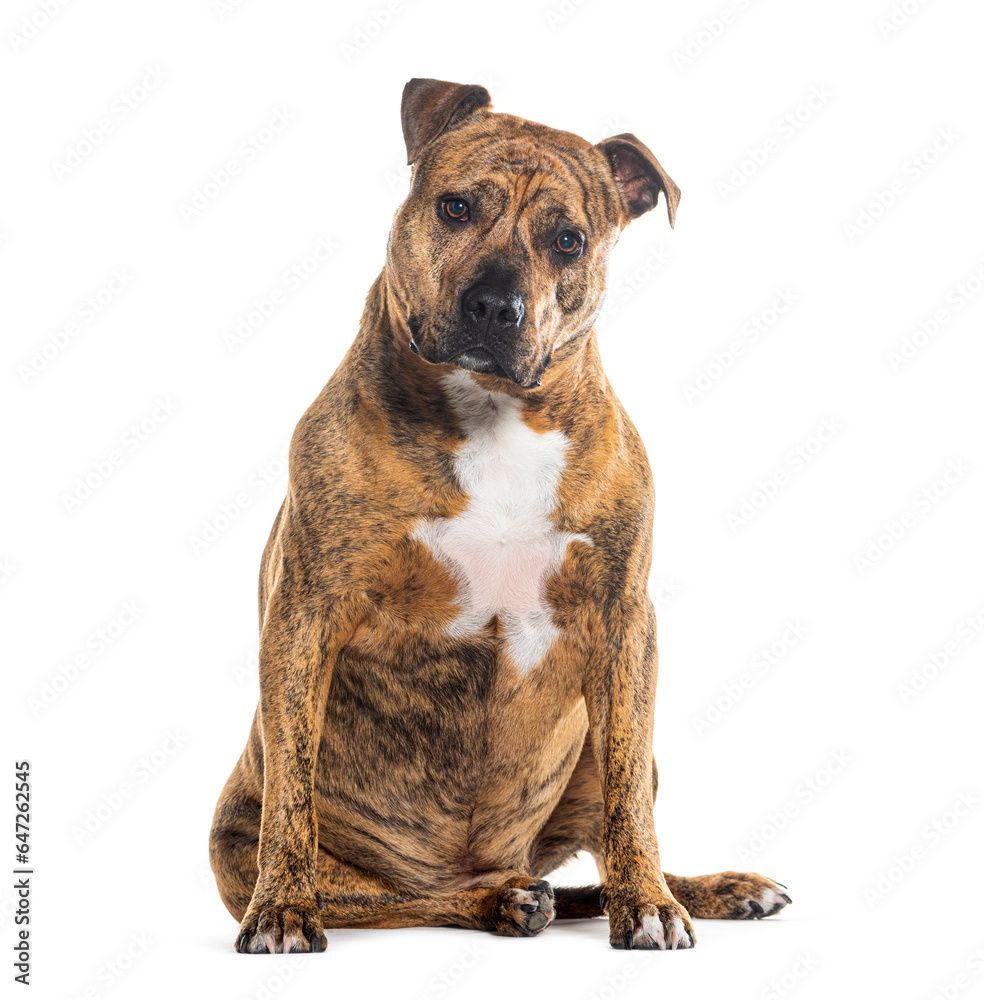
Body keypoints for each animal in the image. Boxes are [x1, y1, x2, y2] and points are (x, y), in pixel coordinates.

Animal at [209, 78, 792, 952]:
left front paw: (652, 906)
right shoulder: (305, 613)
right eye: (455, 206)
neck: (492, 413)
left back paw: (698, 890)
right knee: (396, 895)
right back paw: (498, 901)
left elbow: (629, 801)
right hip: (246, 843)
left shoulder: (622, 620)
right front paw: (281, 910)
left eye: (568, 240)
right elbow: (294, 795)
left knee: (605, 840)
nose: (493, 304)